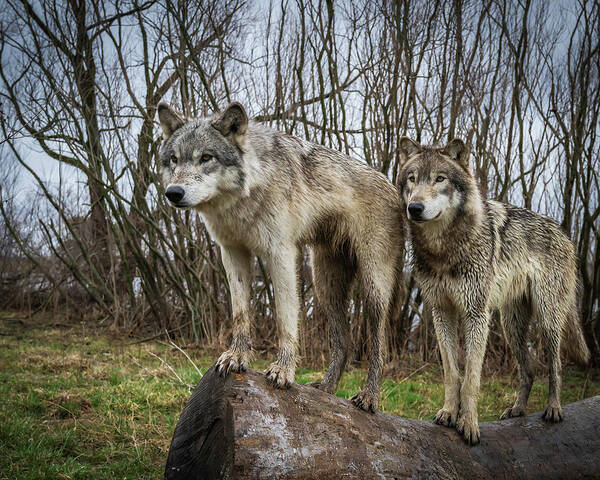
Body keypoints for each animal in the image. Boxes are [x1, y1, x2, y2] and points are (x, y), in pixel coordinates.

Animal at [157, 103, 406, 410]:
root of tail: (394, 188)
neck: (247, 193)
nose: (173, 193)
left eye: (206, 157)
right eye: (174, 160)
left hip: (373, 290)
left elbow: (285, 320)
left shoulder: (281, 255)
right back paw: (326, 389)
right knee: (343, 343)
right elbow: (240, 313)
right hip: (326, 288)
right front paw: (236, 357)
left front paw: (283, 371)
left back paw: (369, 397)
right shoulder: (233, 253)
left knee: (379, 345)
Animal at [396, 137, 588, 444]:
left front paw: (469, 424)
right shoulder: (441, 312)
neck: (444, 250)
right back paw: (517, 409)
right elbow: (452, 373)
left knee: (555, 367)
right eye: (412, 179)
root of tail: (563, 233)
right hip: (512, 327)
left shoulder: (476, 315)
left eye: (440, 179)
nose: (414, 207)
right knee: (529, 371)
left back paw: (553, 408)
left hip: (547, 319)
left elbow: (471, 378)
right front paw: (449, 413)